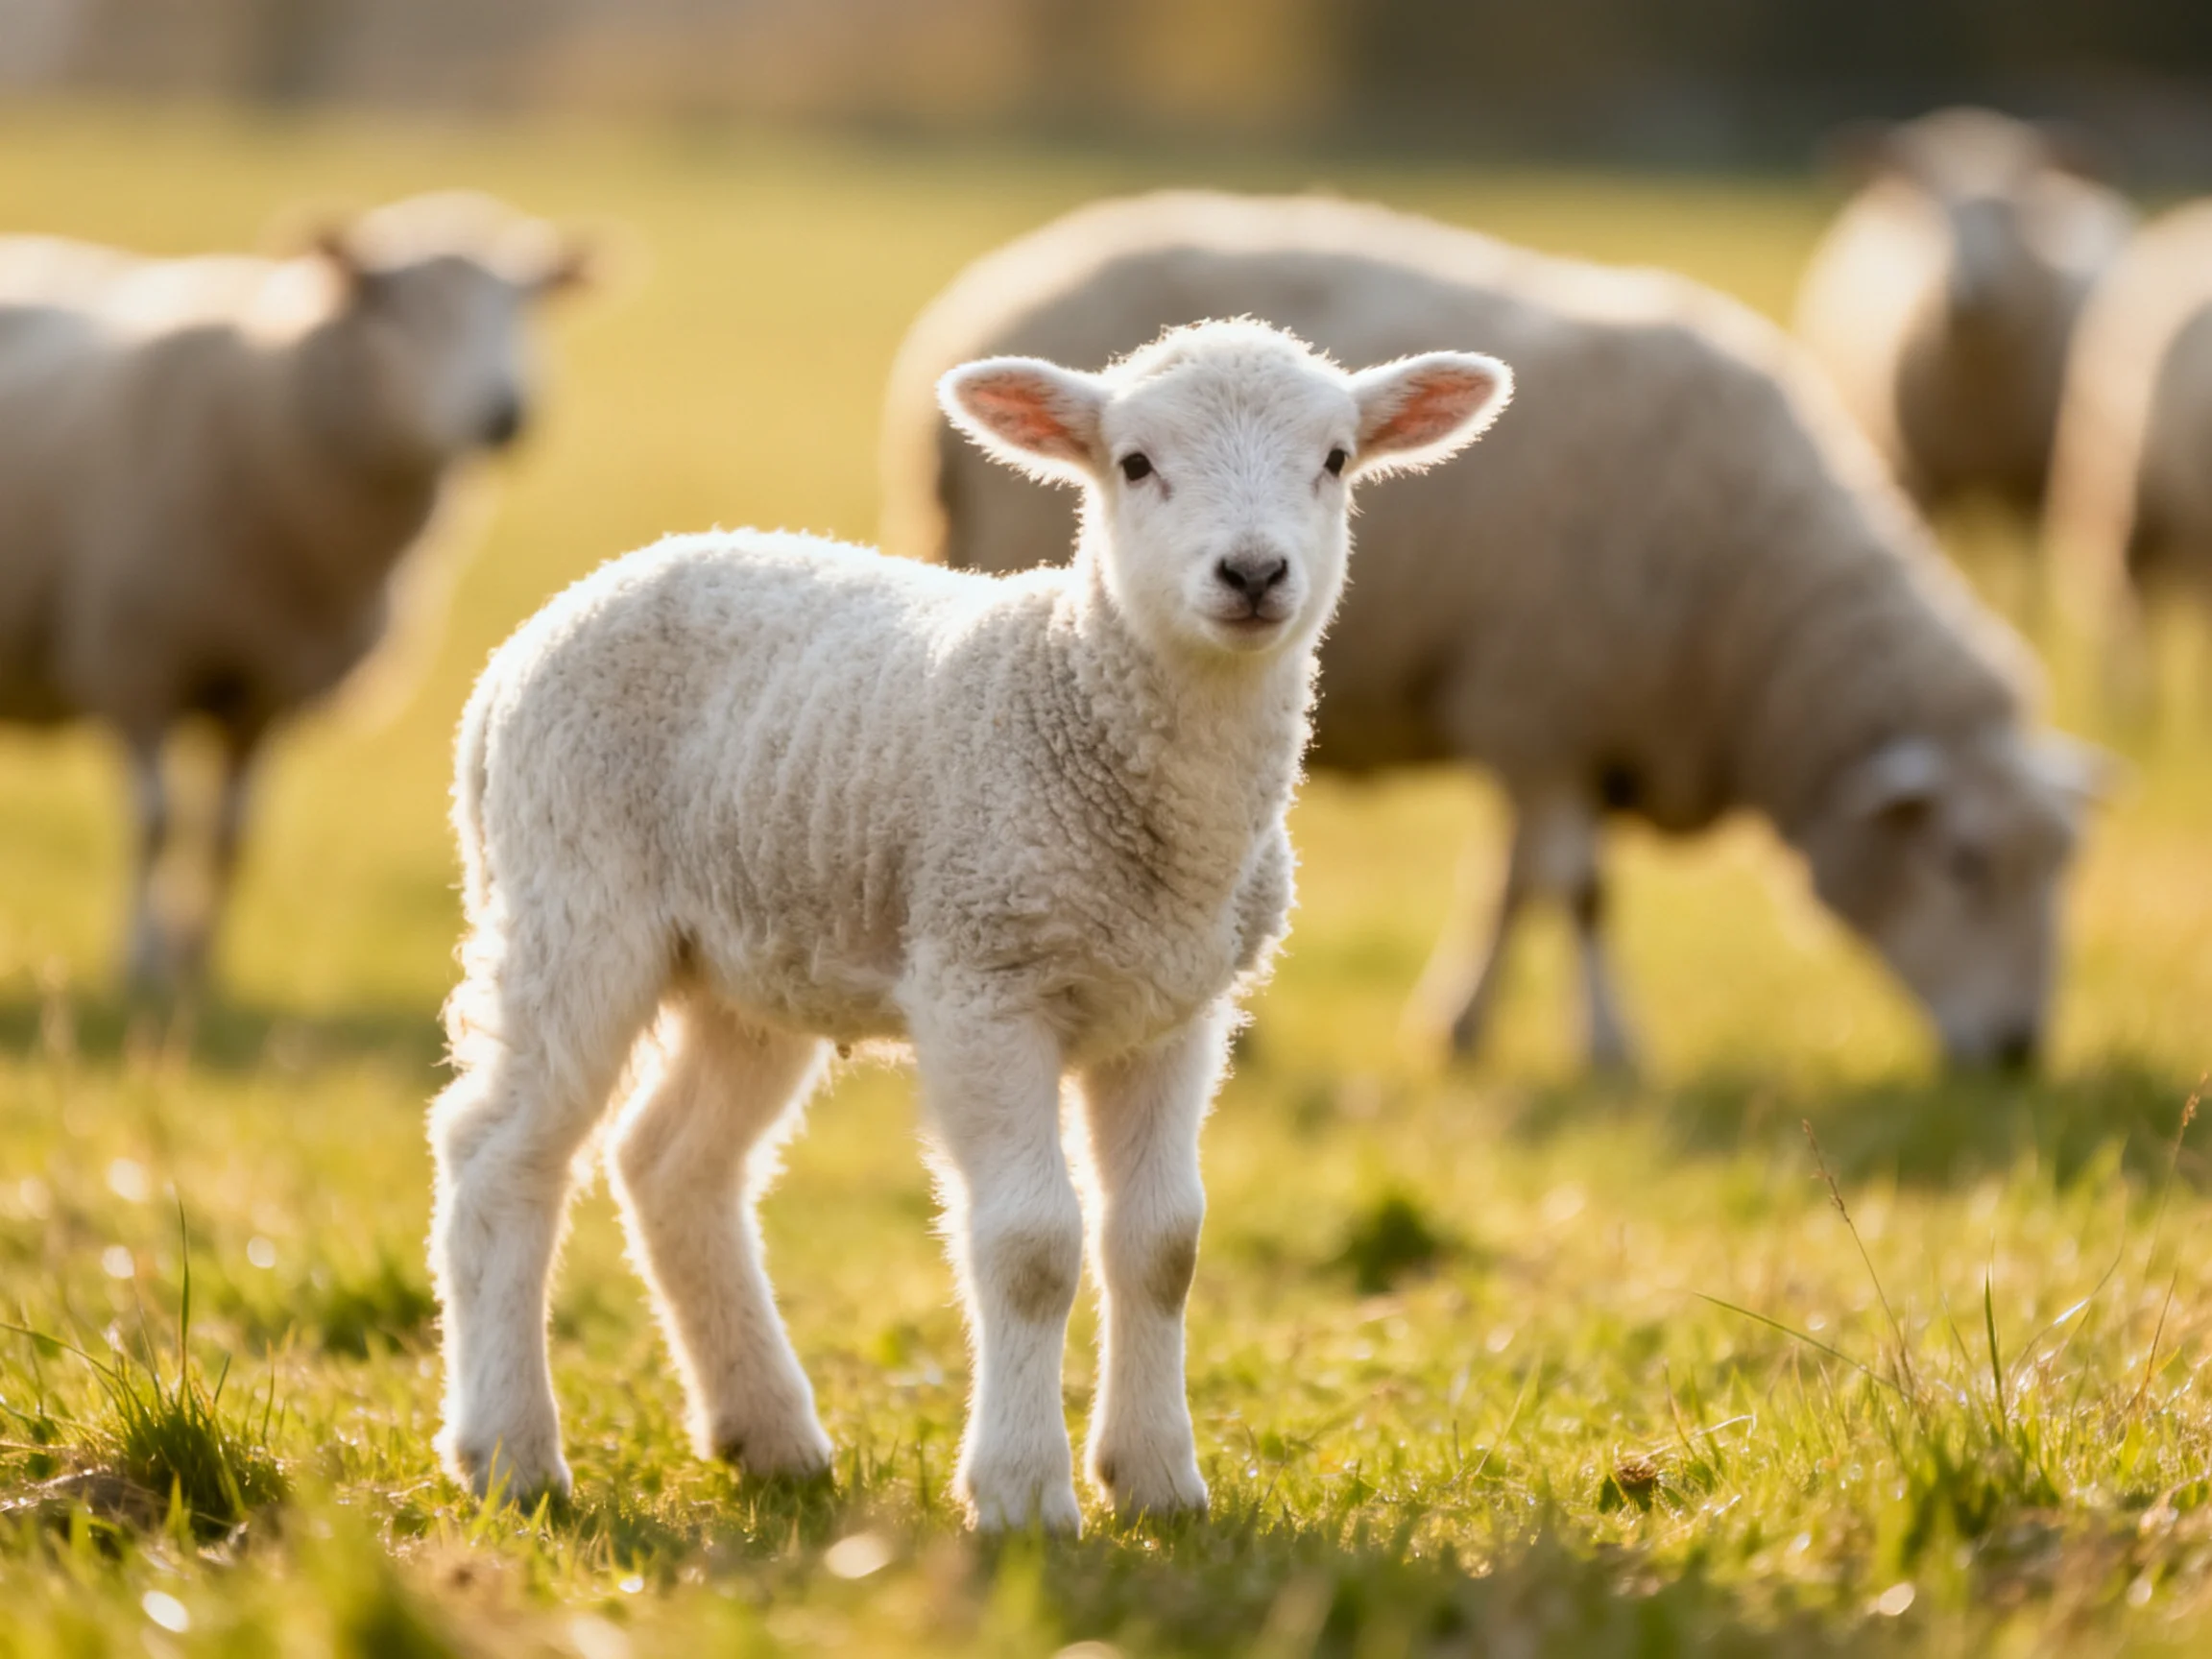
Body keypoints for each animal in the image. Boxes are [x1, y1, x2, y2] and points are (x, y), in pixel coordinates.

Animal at [0, 192, 589, 990]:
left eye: (524, 303)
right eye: (405, 308)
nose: (507, 414)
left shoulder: (266, 686)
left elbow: (231, 835)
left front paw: (198, 964)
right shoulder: (134, 660)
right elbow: (156, 822)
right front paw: (142, 961)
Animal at [427, 319, 1510, 1531]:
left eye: (1334, 460)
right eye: (1134, 463)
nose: (1253, 573)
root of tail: (546, 627)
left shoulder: (1175, 1011)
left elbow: (1162, 1243)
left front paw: (1158, 1483)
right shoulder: (984, 978)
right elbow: (1034, 1245)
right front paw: (1024, 1494)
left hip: (752, 959)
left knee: (671, 1163)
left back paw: (770, 1436)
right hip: (568, 897)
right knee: (499, 1153)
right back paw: (509, 1454)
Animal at [881, 190, 2115, 1072]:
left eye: (2062, 866)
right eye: (1961, 861)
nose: (2019, 1053)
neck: (1756, 614)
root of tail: (970, 312)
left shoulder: (1551, 725)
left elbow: (1513, 881)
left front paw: (1463, 1029)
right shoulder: (1543, 702)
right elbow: (1576, 887)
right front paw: (1608, 1050)